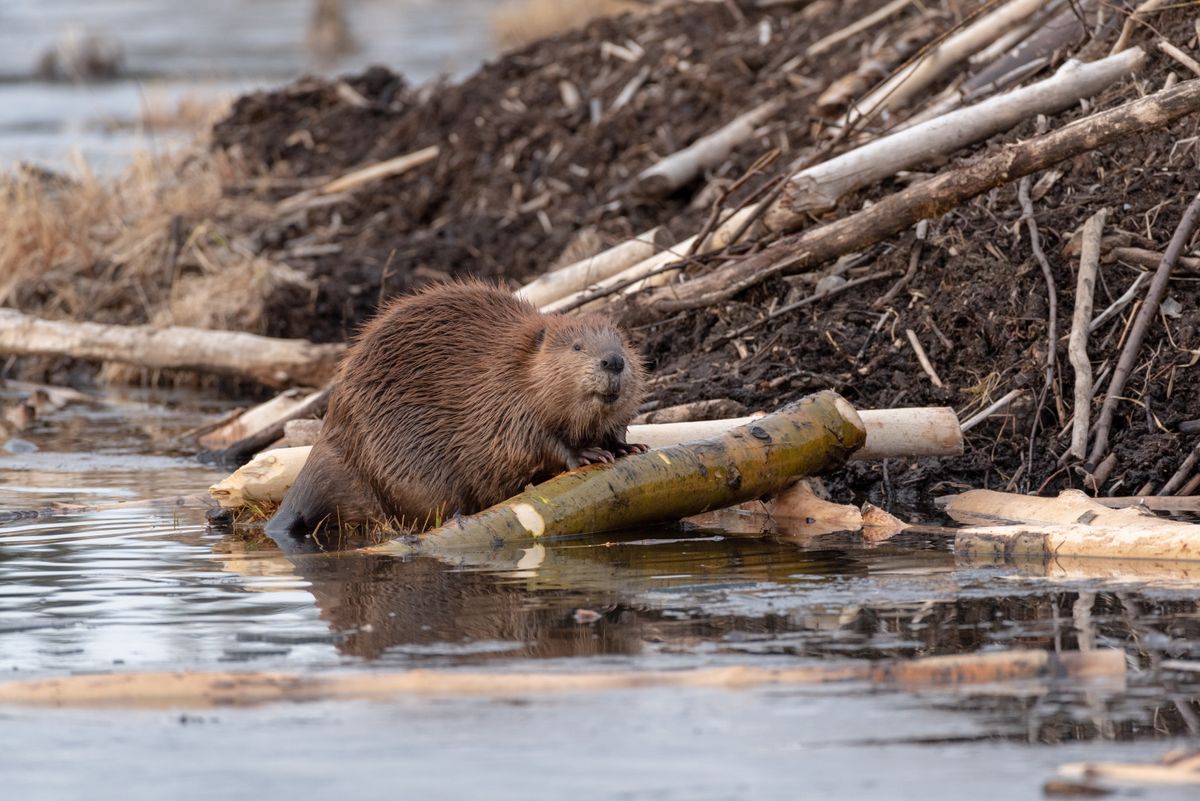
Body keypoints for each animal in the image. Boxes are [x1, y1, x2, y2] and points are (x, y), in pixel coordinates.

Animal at [266, 278, 648, 546]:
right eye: (577, 346)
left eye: (622, 343)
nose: (613, 361)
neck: (518, 367)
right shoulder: (505, 401)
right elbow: (532, 443)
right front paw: (588, 454)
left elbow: (616, 425)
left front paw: (628, 446)